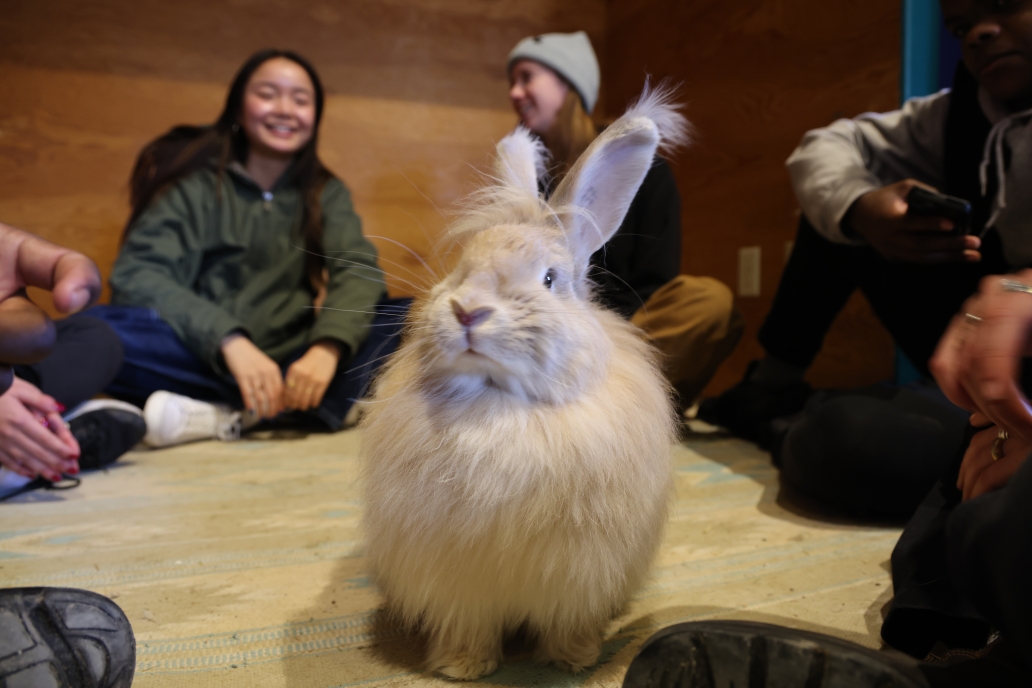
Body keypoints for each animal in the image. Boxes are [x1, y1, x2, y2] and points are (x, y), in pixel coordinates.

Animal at [361, 86, 688, 681]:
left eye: (550, 279)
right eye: (460, 267)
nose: (467, 311)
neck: (500, 406)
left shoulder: (578, 579)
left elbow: (566, 623)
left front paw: (573, 659)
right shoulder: (459, 588)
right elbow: (468, 624)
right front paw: (463, 667)